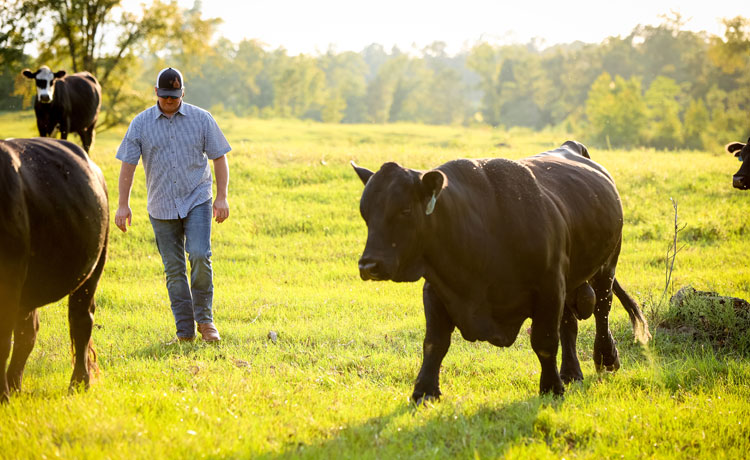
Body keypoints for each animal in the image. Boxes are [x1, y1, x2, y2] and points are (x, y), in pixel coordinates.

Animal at [0, 137, 108, 402]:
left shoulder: (10, 279)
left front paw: (2, 397)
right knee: (27, 333)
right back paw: (15, 386)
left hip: (92, 270)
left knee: (80, 321)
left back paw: (79, 382)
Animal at [352, 141, 652, 402]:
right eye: (365, 213)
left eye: (404, 210)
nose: (369, 265)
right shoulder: (436, 289)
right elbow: (434, 344)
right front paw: (424, 392)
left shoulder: (549, 287)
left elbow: (544, 341)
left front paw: (551, 388)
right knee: (570, 324)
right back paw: (571, 372)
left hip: (606, 266)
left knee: (602, 310)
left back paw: (606, 358)